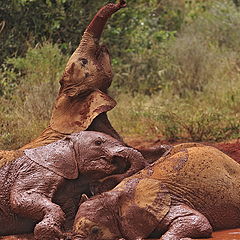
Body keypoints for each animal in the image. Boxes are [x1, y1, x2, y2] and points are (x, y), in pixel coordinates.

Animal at [0, 131, 146, 240]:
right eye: (98, 143)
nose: (99, 187)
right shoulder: (36, 171)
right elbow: (20, 199)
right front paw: (52, 234)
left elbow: (69, 206)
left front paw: (66, 232)